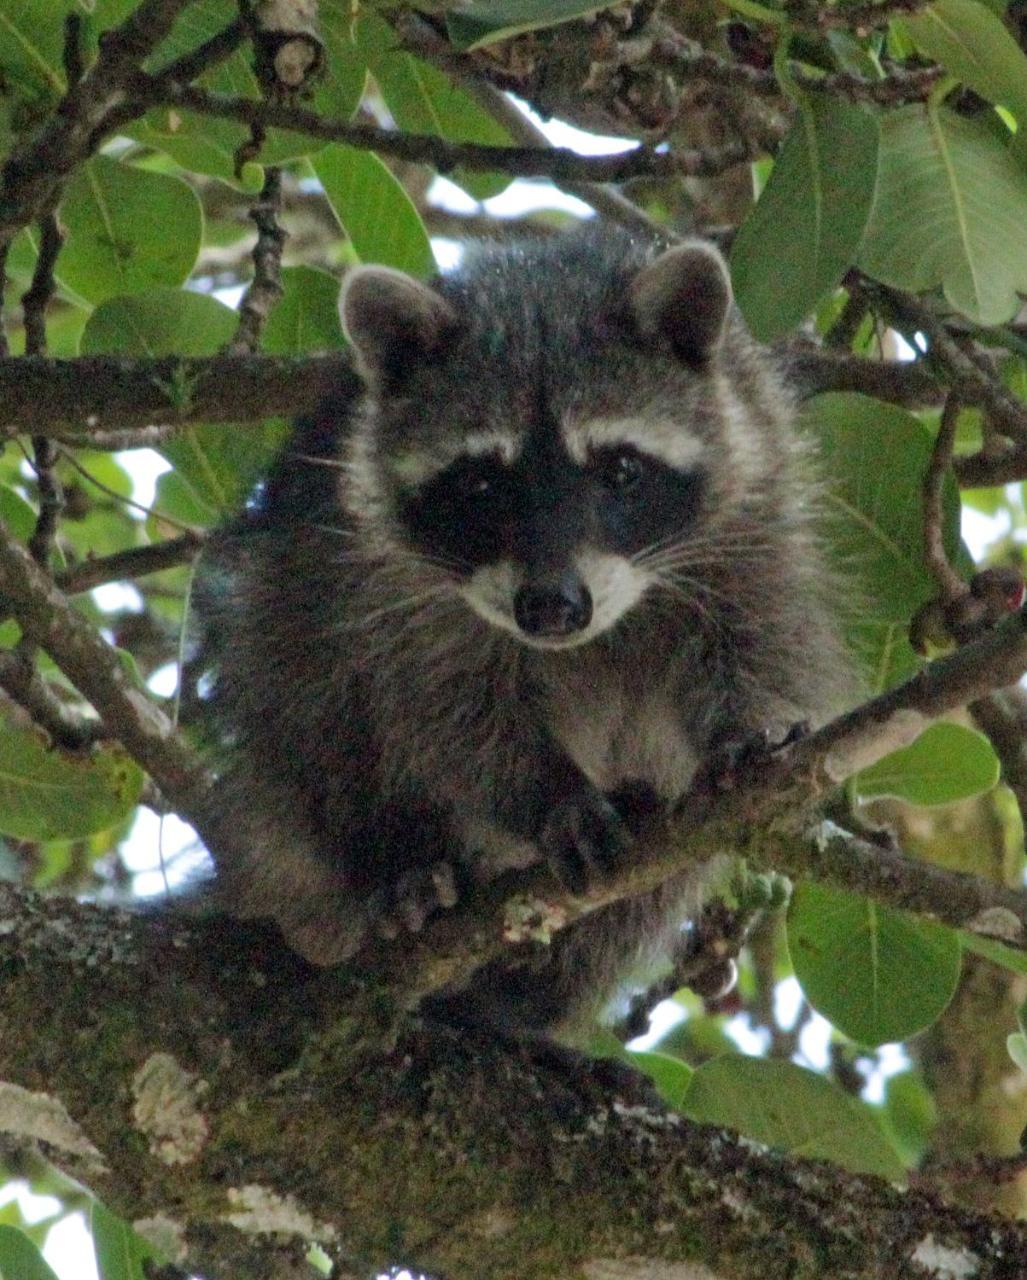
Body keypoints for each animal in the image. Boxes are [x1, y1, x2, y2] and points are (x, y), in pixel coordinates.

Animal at [194, 225, 850, 1034]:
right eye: (481, 484)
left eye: (620, 471)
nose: (551, 609)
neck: (537, 296)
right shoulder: (390, 585)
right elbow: (445, 710)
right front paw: (549, 795)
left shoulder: (754, 496)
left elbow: (758, 637)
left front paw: (746, 723)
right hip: (284, 640)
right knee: (309, 704)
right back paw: (395, 864)